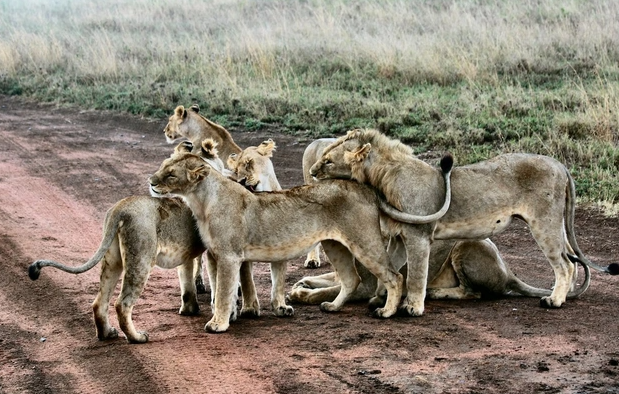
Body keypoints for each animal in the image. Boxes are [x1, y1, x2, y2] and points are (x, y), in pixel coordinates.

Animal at [310, 129, 619, 318]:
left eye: (327, 161)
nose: (312, 172)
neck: (380, 178)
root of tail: (560, 164)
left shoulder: (418, 235)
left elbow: (416, 274)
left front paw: (412, 308)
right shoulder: (399, 237)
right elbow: (393, 270)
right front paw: (383, 301)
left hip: (544, 223)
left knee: (565, 264)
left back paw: (555, 301)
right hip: (554, 224)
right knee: (572, 261)